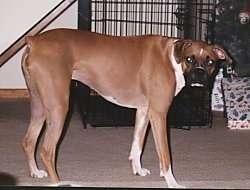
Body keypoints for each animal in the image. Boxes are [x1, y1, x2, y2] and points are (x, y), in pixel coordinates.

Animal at [20, 29, 231, 188]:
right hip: (59, 107)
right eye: (190, 59)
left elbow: (137, 145)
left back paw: (35, 172)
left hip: (40, 107)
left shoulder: (144, 112)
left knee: (29, 141)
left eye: (210, 61)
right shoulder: (159, 115)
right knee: (47, 150)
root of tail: (34, 40)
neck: (172, 58)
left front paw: (138, 170)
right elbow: (165, 154)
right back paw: (58, 182)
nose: (199, 74)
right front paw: (172, 182)